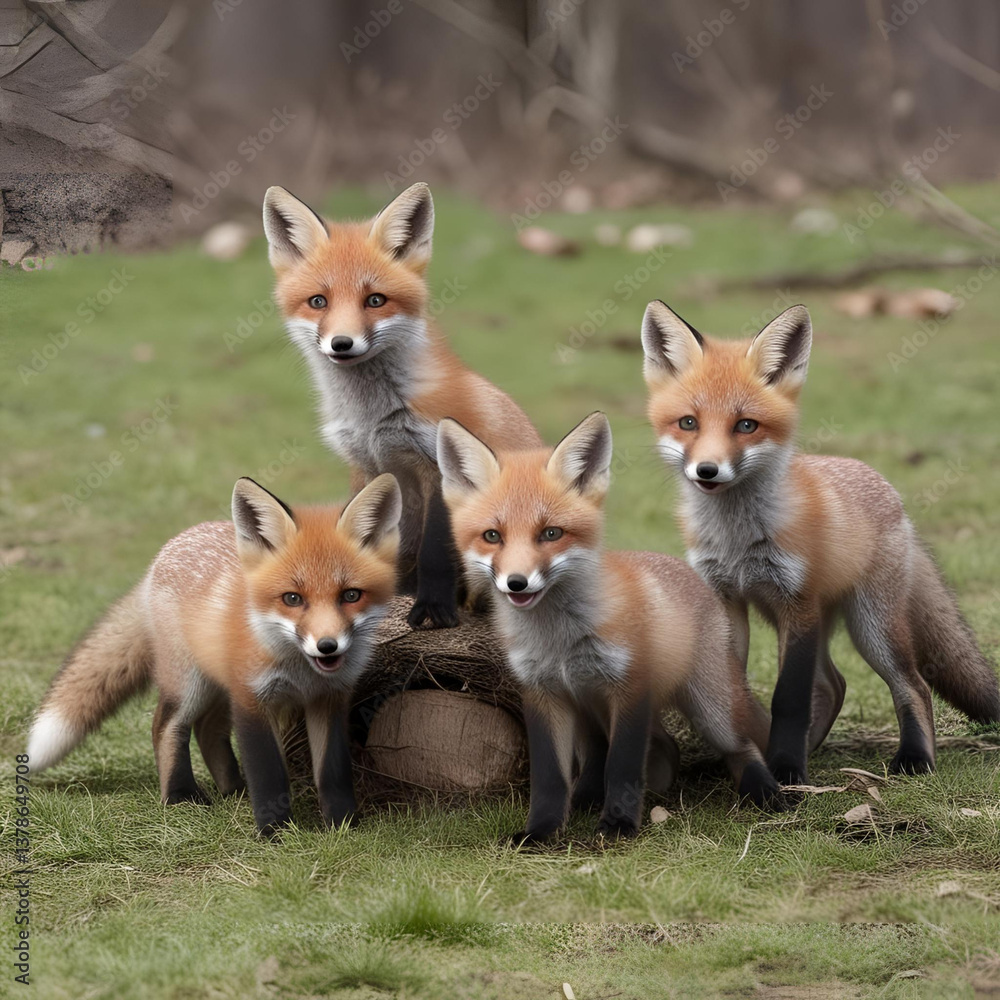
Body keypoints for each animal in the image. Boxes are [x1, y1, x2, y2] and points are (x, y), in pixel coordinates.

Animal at [26, 475, 402, 835]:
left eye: (350, 595)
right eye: (292, 599)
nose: (327, 645)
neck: (299, 669)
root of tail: (170, 547)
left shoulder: (330, 698)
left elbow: (333, 771)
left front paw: (343, 825)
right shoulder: (252, 697)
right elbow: (268, 771)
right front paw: (275, 833)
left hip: (220, 685)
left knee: (206, 730)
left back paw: (234, 790)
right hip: (190, 684)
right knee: (165, 725)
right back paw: (179, 797)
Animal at [262, 182, 542, 630]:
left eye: (375, 300)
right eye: (318, 302)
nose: (342, 344)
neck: (373, 417)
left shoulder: (438, 469)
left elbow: (433, 553)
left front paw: (432, 610)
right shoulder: (366, 464)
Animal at [437, 412, 781, 842]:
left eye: (551, 533)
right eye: (492, 536)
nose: (517, 583)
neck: (560, 640)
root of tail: (686, 570)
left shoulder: (631, 689)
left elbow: (622, 765)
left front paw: (617, 825)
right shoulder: (542, 694)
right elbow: (550, 777)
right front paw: (541, 831)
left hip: (711, 709)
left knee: (740, 746)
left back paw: (766, 792)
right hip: (591, 711)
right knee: (643, 751)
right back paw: (589, 798)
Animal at [640, 299, 1000, 786]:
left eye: (746, 425)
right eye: (688, 423)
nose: (707, 470)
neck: (738, 540)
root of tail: (890, 491)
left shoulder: (798, 602)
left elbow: (788, 699)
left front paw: (787, 770)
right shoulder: (727, 600)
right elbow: (736, 689)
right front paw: (755, 762)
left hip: (871, 625)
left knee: (913, 684)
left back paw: (914, 759)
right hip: (803, 617)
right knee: (834, 684)